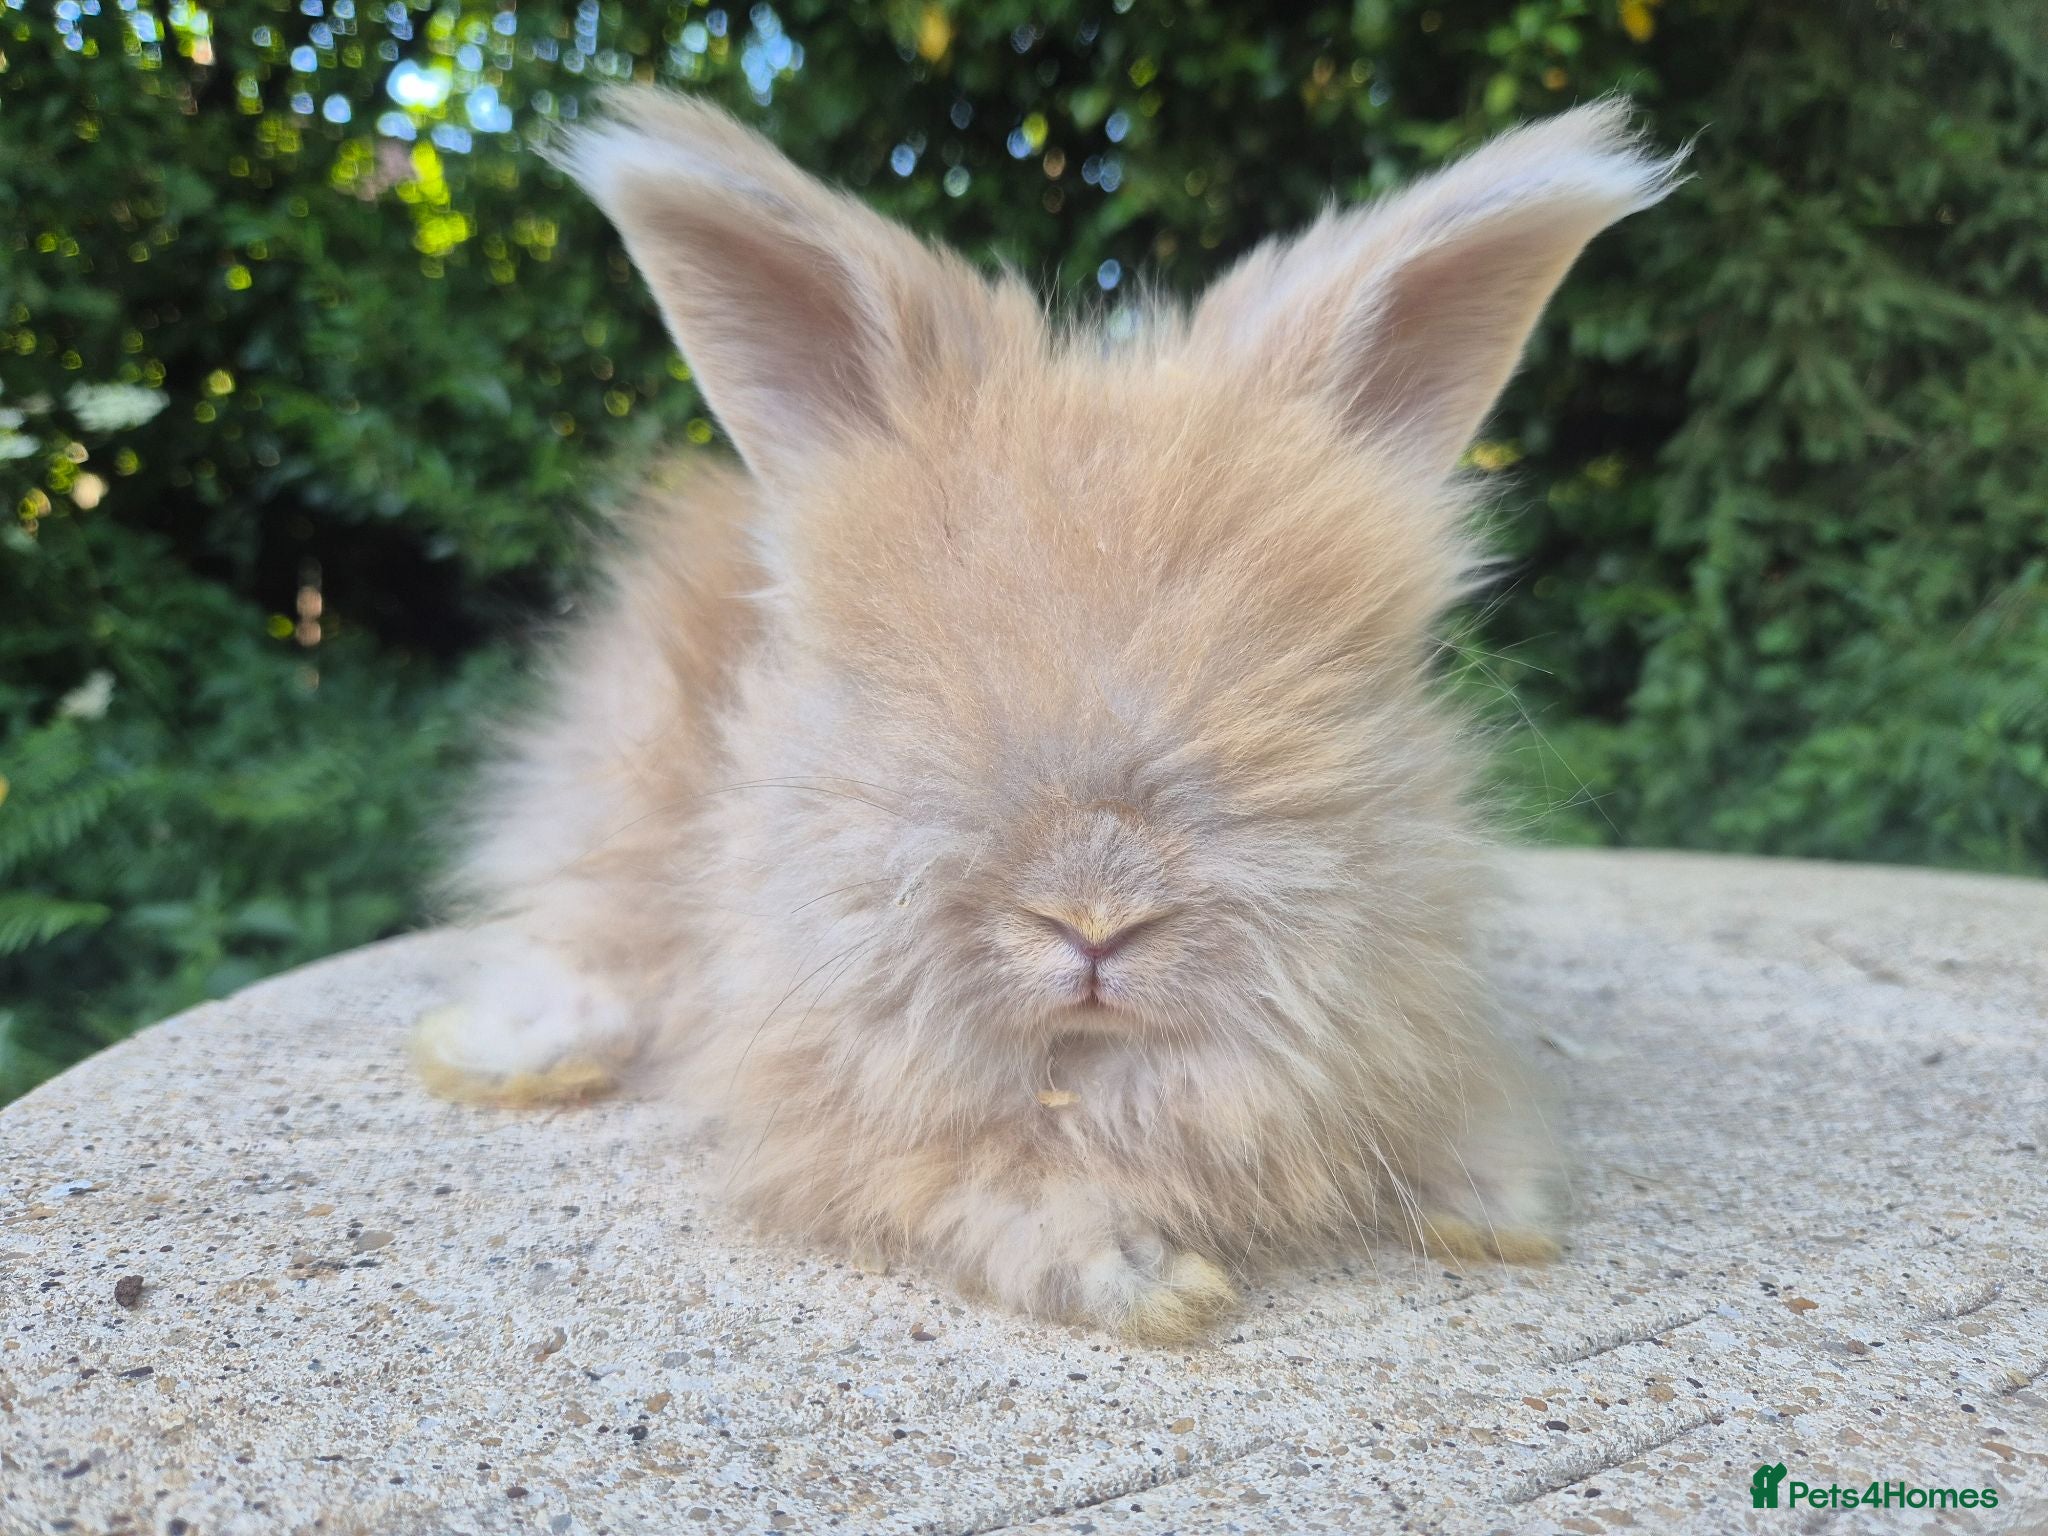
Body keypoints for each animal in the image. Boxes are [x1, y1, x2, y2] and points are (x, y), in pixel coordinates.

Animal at [415, 87, 1680, 1344]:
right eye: (892, 679)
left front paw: (1498, 1207)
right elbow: (980, 1185)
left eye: (1307, 680)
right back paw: (511, 1055)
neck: (1098, 1071)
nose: (1094, 919)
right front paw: (1147, 1277)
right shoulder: (830, 1118)